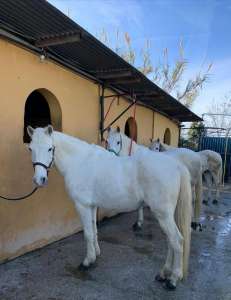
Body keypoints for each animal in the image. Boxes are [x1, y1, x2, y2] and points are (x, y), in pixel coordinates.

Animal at [28, 125, 192, 290]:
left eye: (50, 148)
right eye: (30, 149)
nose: (39, 180)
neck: (79, 162)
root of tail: (176, 165)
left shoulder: (82, 205)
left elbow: (87, 234)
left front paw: (87, 262)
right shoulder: (92, 206)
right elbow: (94, 230)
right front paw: (95, 255)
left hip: (163, 214)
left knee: (177, 241)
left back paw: (173, 279)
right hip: (167, 215)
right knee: (171, 242)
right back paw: (164, 273)